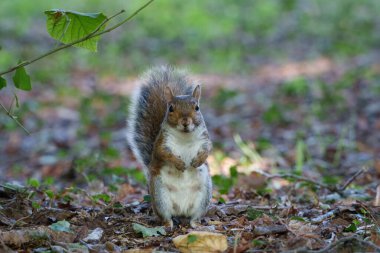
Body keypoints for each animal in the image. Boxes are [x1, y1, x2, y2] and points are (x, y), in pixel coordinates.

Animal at [127, 65, 211, 227]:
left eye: (197, 107)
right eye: (171, 108)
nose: (185, 121)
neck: (185, 136)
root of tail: (182, 210)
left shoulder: (205, 139)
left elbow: (208, 150)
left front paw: (197, 161)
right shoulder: (162, 143)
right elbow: (163, 153)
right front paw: (178, 163)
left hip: (203, 196)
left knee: (194, 217)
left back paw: (196, 224)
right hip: (160, 196)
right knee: (165, 216)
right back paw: (168, 225)